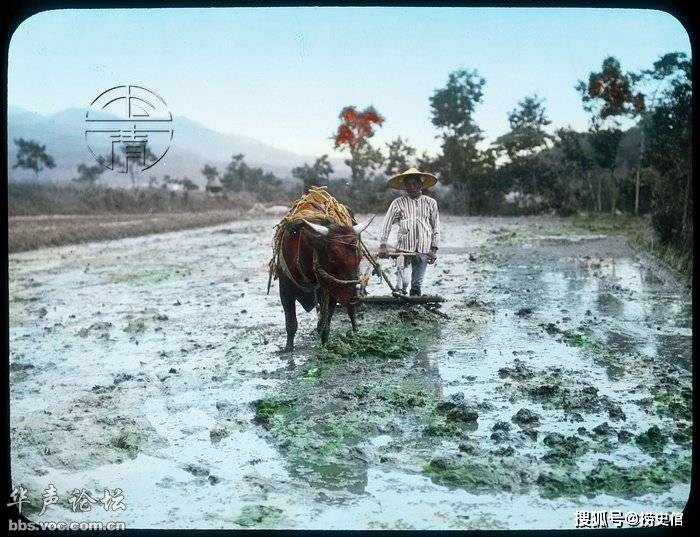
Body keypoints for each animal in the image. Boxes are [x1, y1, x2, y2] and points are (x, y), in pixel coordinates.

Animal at [274, 216, 372, 350]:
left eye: (359, 258)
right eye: (332, 259)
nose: (354, 298)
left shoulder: (333, 290)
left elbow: (327, 321)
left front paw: (324, 342)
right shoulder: (285, 289)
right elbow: (291, 321)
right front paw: (288, 348)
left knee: (351, 312)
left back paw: (355, 331)